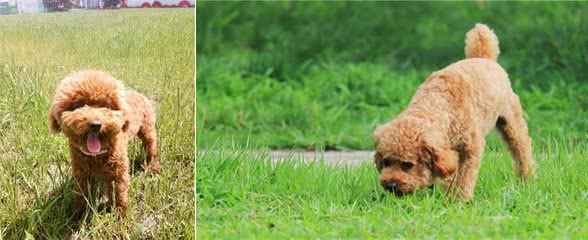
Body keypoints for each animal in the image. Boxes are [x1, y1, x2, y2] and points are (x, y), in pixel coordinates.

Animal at [49, 69, 160, 216]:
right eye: (79, 105)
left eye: (106, 106)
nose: (95, 125)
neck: (96, 155)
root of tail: (138, 93)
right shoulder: (81, 171)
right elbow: (81, 192)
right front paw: (79, 211)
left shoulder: (117, 170)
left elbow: (118, 192)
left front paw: (119, 213)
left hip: (147, 129)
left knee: (151, 146)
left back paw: (153, 166)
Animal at [374, 23, 536, 200]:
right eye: (386, 162)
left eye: (407, 165)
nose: (390, 185)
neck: (439, 104)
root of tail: (484, 57)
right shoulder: (448, 152)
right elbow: (450, 176)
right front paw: (448, 196)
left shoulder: (472, 147)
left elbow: (465, 176)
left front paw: (461, 199)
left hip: (511, 122)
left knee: (522, 150)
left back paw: (527, 179)